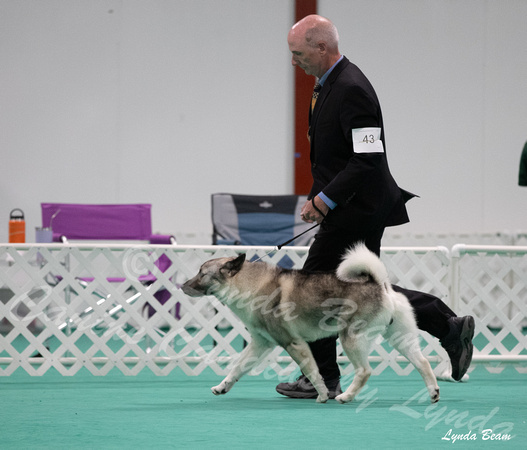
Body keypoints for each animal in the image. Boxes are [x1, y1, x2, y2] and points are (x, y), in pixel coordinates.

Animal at [184, 244, 440, 406]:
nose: (182, 285)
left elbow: (313, 372)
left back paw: (346, 397)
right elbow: (237, 368)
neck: (250, 285)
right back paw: (434, 393)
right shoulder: (260, 344)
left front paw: (323, 395)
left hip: (351, 339)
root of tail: (381, 286)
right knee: (423, 363)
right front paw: (222, 387)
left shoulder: (294, 344)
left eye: (201, 273)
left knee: (365, 371)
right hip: (400, 339)